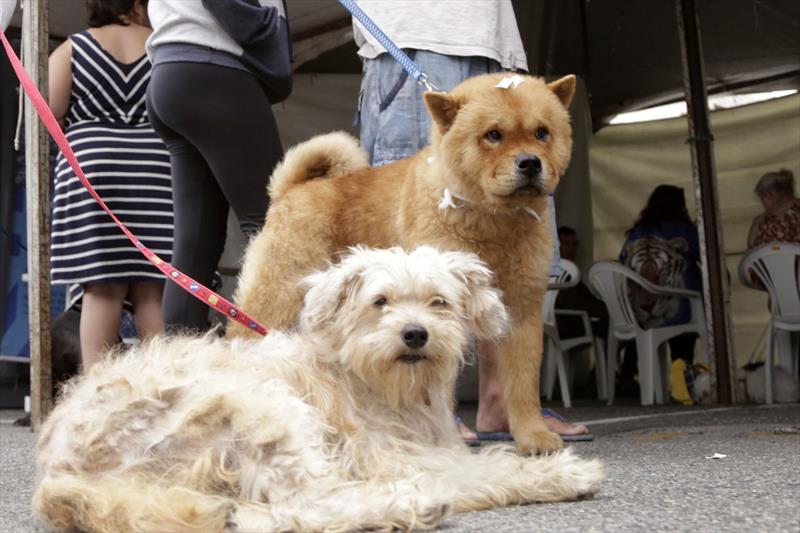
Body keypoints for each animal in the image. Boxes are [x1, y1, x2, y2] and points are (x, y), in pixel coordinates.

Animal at [34, 246, 604, 532]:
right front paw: (561, 473)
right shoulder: (394, 457)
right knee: (307, 503)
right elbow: (488, 469)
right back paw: (408, 505)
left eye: (439, 302)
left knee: (267, 514)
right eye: (380, 301)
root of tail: (60, 469)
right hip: (260, 407)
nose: (414, 334)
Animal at [230, 70, 576, 454]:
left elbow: (522, 384)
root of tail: (293, 189)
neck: (493, 224)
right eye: (493, 135)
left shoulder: (521, 308)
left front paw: (534, 437)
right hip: (277, 294)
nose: (530, 162)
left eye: (542, 133)